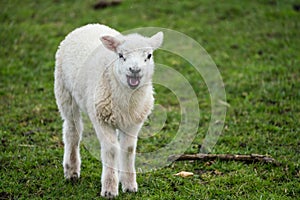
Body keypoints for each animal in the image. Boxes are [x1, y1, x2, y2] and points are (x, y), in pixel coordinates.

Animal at [52, 23, 163, 198]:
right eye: (120, 55)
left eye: (149, 56)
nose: (134, 70)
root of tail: (88, 25)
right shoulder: (100, 118)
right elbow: (111, 150)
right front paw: (110, 188)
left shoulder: (133, 121)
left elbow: (128, 149)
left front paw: (129, 185)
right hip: (64, 91)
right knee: (72, 131)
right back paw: (71, 171)